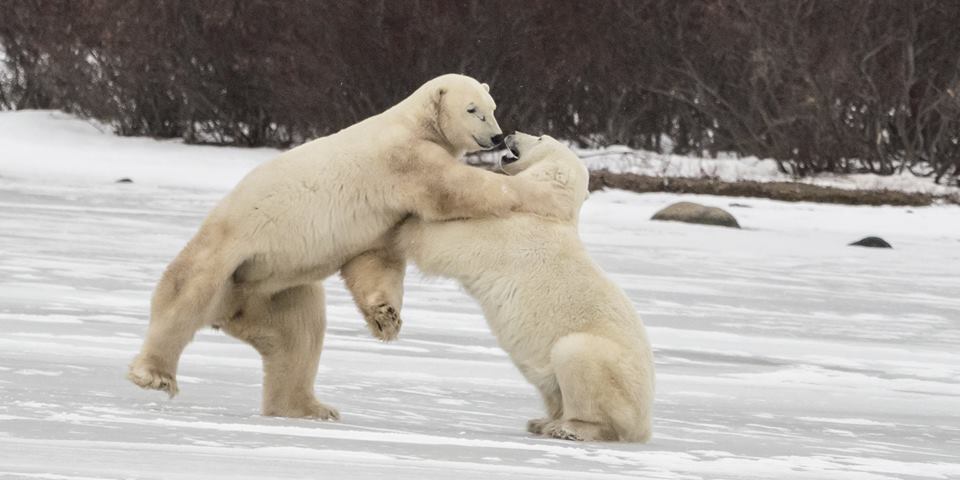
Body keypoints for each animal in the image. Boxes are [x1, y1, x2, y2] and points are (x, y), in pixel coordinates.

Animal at [127, 74, 568, 420]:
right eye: (473, 109)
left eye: (492, 107)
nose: (496, 136)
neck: (414, 123)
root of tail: (226, 312)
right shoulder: (405, 161)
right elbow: (456, 190)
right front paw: (545, 192)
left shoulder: (385, 212)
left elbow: (373, 259)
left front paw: (387, 319)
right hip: (230, 254)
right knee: (185, 293)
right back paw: (154, 373)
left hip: (271, 293)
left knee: (297, 334)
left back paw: (309, 407)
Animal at [344, 132, 655, 442]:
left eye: (540, 136)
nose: (511, 134)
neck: (549, 210)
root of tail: (645, 424)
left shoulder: (507, 233)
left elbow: (439, 241)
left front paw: (403, 212)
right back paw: (541, 420)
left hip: (609, 366)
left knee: (577, 359)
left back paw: (568, 427)